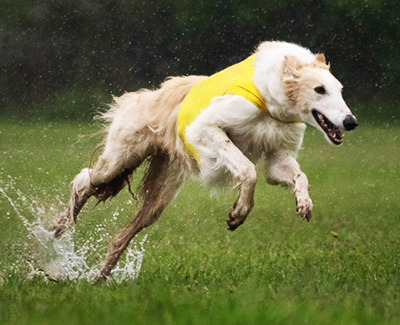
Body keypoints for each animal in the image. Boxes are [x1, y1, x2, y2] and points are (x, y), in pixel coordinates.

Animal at [54, 40, 360, 278]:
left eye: (340, 89)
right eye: (319, 89)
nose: (351, 122)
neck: (271, 96)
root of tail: (145, 96)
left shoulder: (278, 157)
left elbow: (297, 176)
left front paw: (304, 203)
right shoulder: (206, 128)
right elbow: (248, 170)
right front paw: (239, 212)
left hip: (160, 195)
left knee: (121, 236)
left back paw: (99, 277)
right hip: (120, 158)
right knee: (83, 181)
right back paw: (61, 227)